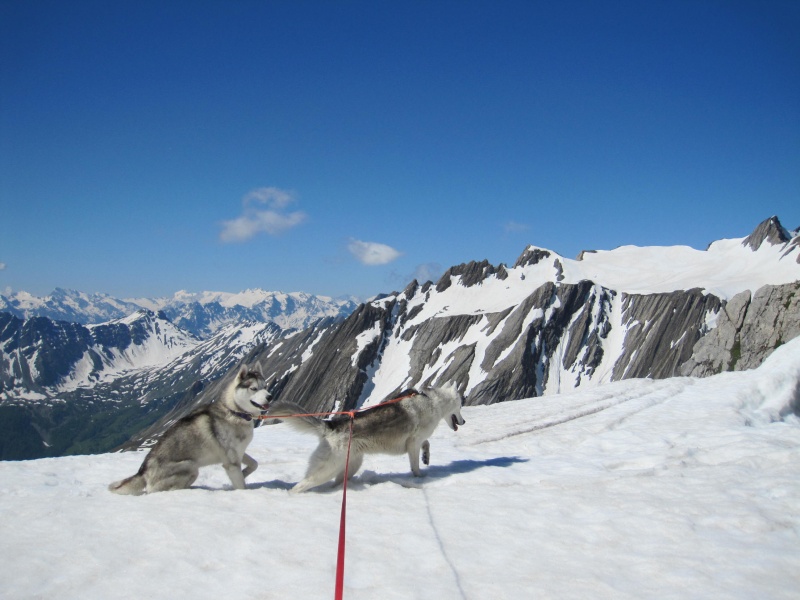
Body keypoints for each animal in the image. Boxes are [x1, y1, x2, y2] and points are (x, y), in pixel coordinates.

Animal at [109, 368, 272, 494]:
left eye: (265, 386)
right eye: (253, 388)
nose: (270, 397)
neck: (235, 412)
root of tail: (143, 471)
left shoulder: (238, 453)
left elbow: (254, 464)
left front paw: (245, 472)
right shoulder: (231, 462)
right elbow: (241, 486)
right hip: (190, 467)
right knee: (156, 490)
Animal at [266, 384, 466, 492]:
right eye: (461, 405)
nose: (464, 421)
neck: (433, 402)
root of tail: (330, 426)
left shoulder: (416, 442)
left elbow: (427, 444)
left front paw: (427, 457)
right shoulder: (413, 443)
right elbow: (415, 465)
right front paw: (419, 476)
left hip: (351, 465)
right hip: (327, 469)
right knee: (300, 486)